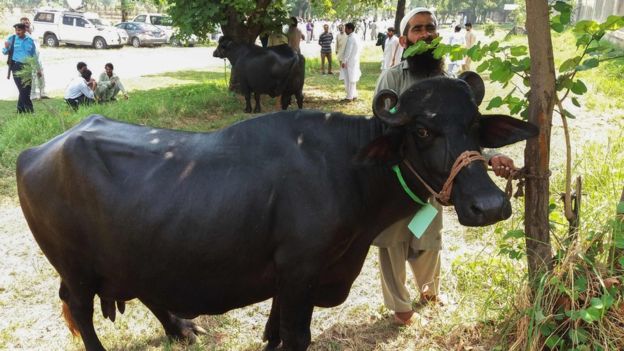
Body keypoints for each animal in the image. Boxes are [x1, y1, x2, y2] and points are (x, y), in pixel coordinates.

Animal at [17, 73, 540, 350]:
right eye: (424, 131)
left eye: (475, 125)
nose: (489, 205)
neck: (347, 170)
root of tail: (37, 152)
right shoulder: (299, 271)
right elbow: (296, 335)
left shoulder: (288, 279)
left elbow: (274, 331)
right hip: (75, 269)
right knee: (80, 313)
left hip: (136, 253)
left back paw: (183, 327)